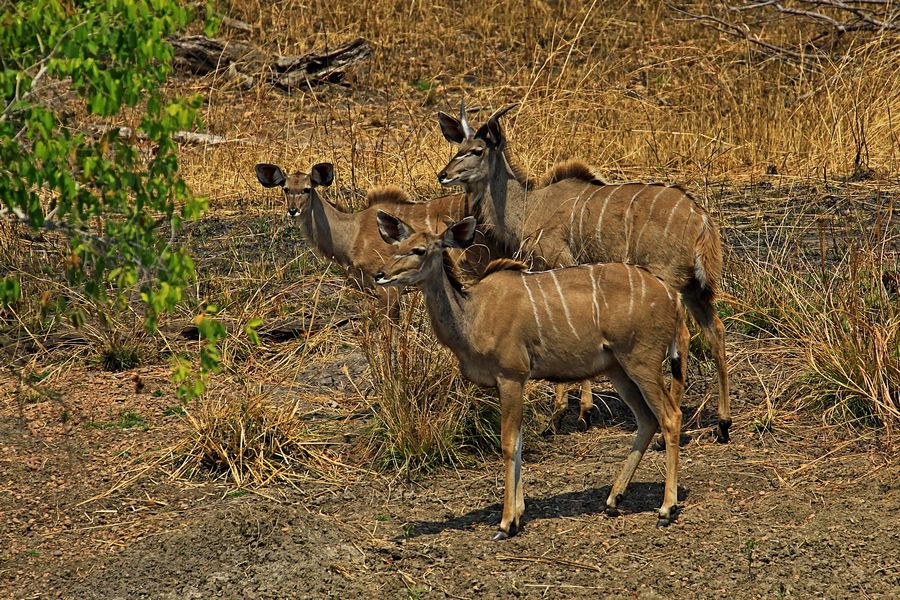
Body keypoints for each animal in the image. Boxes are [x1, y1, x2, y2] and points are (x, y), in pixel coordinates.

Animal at [372, 211, 688, 540]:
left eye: (419, 250)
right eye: (397, 245)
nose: (380, 274)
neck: (473, 314)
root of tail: (672, 296)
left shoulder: (511, 375)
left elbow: (509, 443)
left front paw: (505, 523)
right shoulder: (514, 381)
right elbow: (520, 440)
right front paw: (519, 514)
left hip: (641, 361)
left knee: (670, 416)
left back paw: (666, 509)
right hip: (618, 369)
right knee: (647, 419)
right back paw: (614, 499)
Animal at [436, 102, 732, 440]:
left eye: (477, 150)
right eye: (457, 148)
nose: (443, 175)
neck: (528, 206)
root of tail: (700, 219)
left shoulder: (561, 263)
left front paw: (572, 414)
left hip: (668, 281)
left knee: (682, 336)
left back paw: (665, 433)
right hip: (694, 289)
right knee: (716, 329)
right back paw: (723, 424)